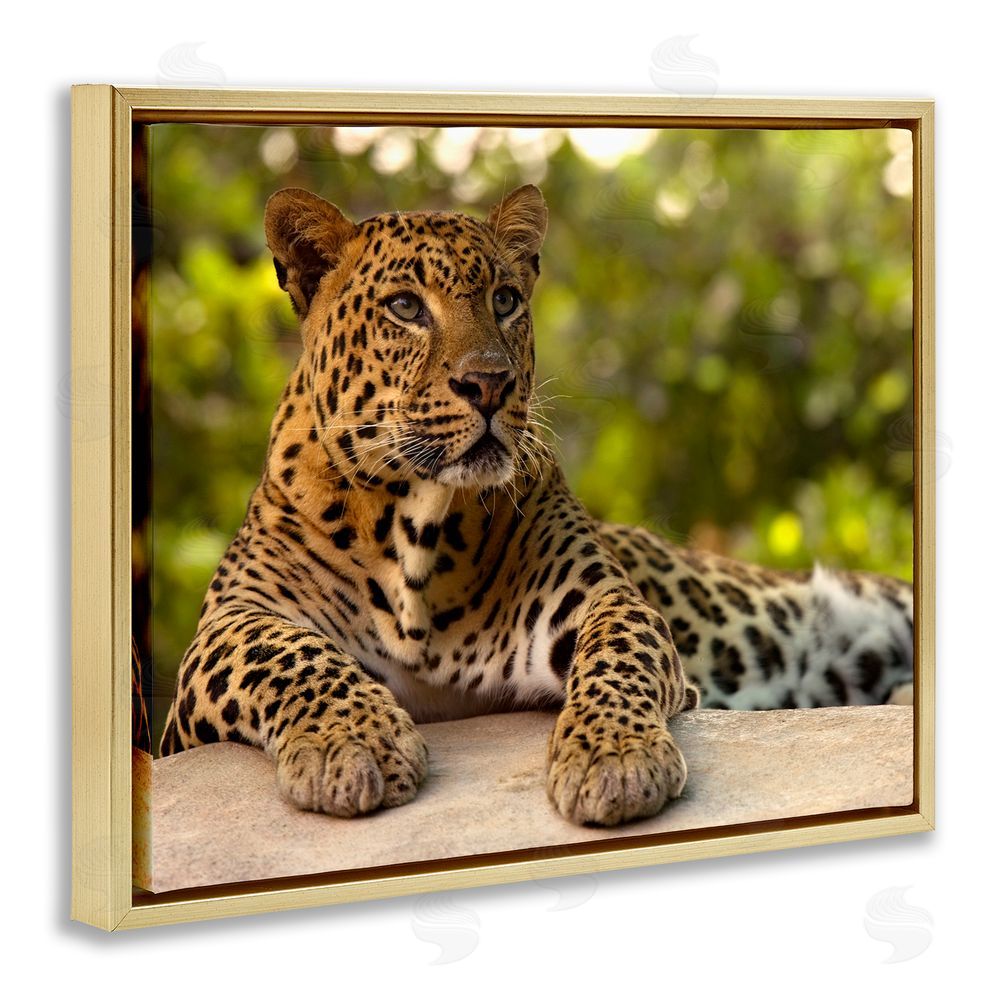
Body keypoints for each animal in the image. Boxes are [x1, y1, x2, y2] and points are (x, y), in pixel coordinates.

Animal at [159, 184, 914, 827]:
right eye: (405, 307)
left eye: (505, 299)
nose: (489, 384)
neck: (415, 526)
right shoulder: (222, 633)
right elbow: (288, 653)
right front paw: (354, 744)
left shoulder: (597, 599)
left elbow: (618, 654)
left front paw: (614, 758)